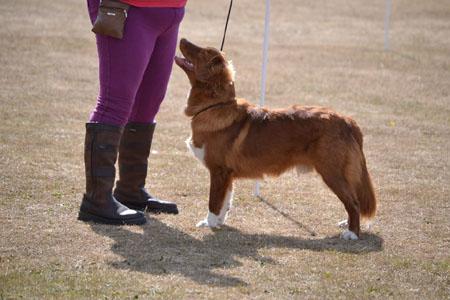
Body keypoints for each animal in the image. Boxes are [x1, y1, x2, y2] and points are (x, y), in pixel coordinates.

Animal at [174, 38, 374, 239]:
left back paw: (352, 233)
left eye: (201, 52)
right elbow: (225, 202)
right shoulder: (227, 174)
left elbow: (214, 202)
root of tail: (348, 121)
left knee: (353, 202)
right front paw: (219, 222)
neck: (215, 106)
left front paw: (209, 222)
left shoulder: (218, 171)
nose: (182, 39)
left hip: (332, 172)